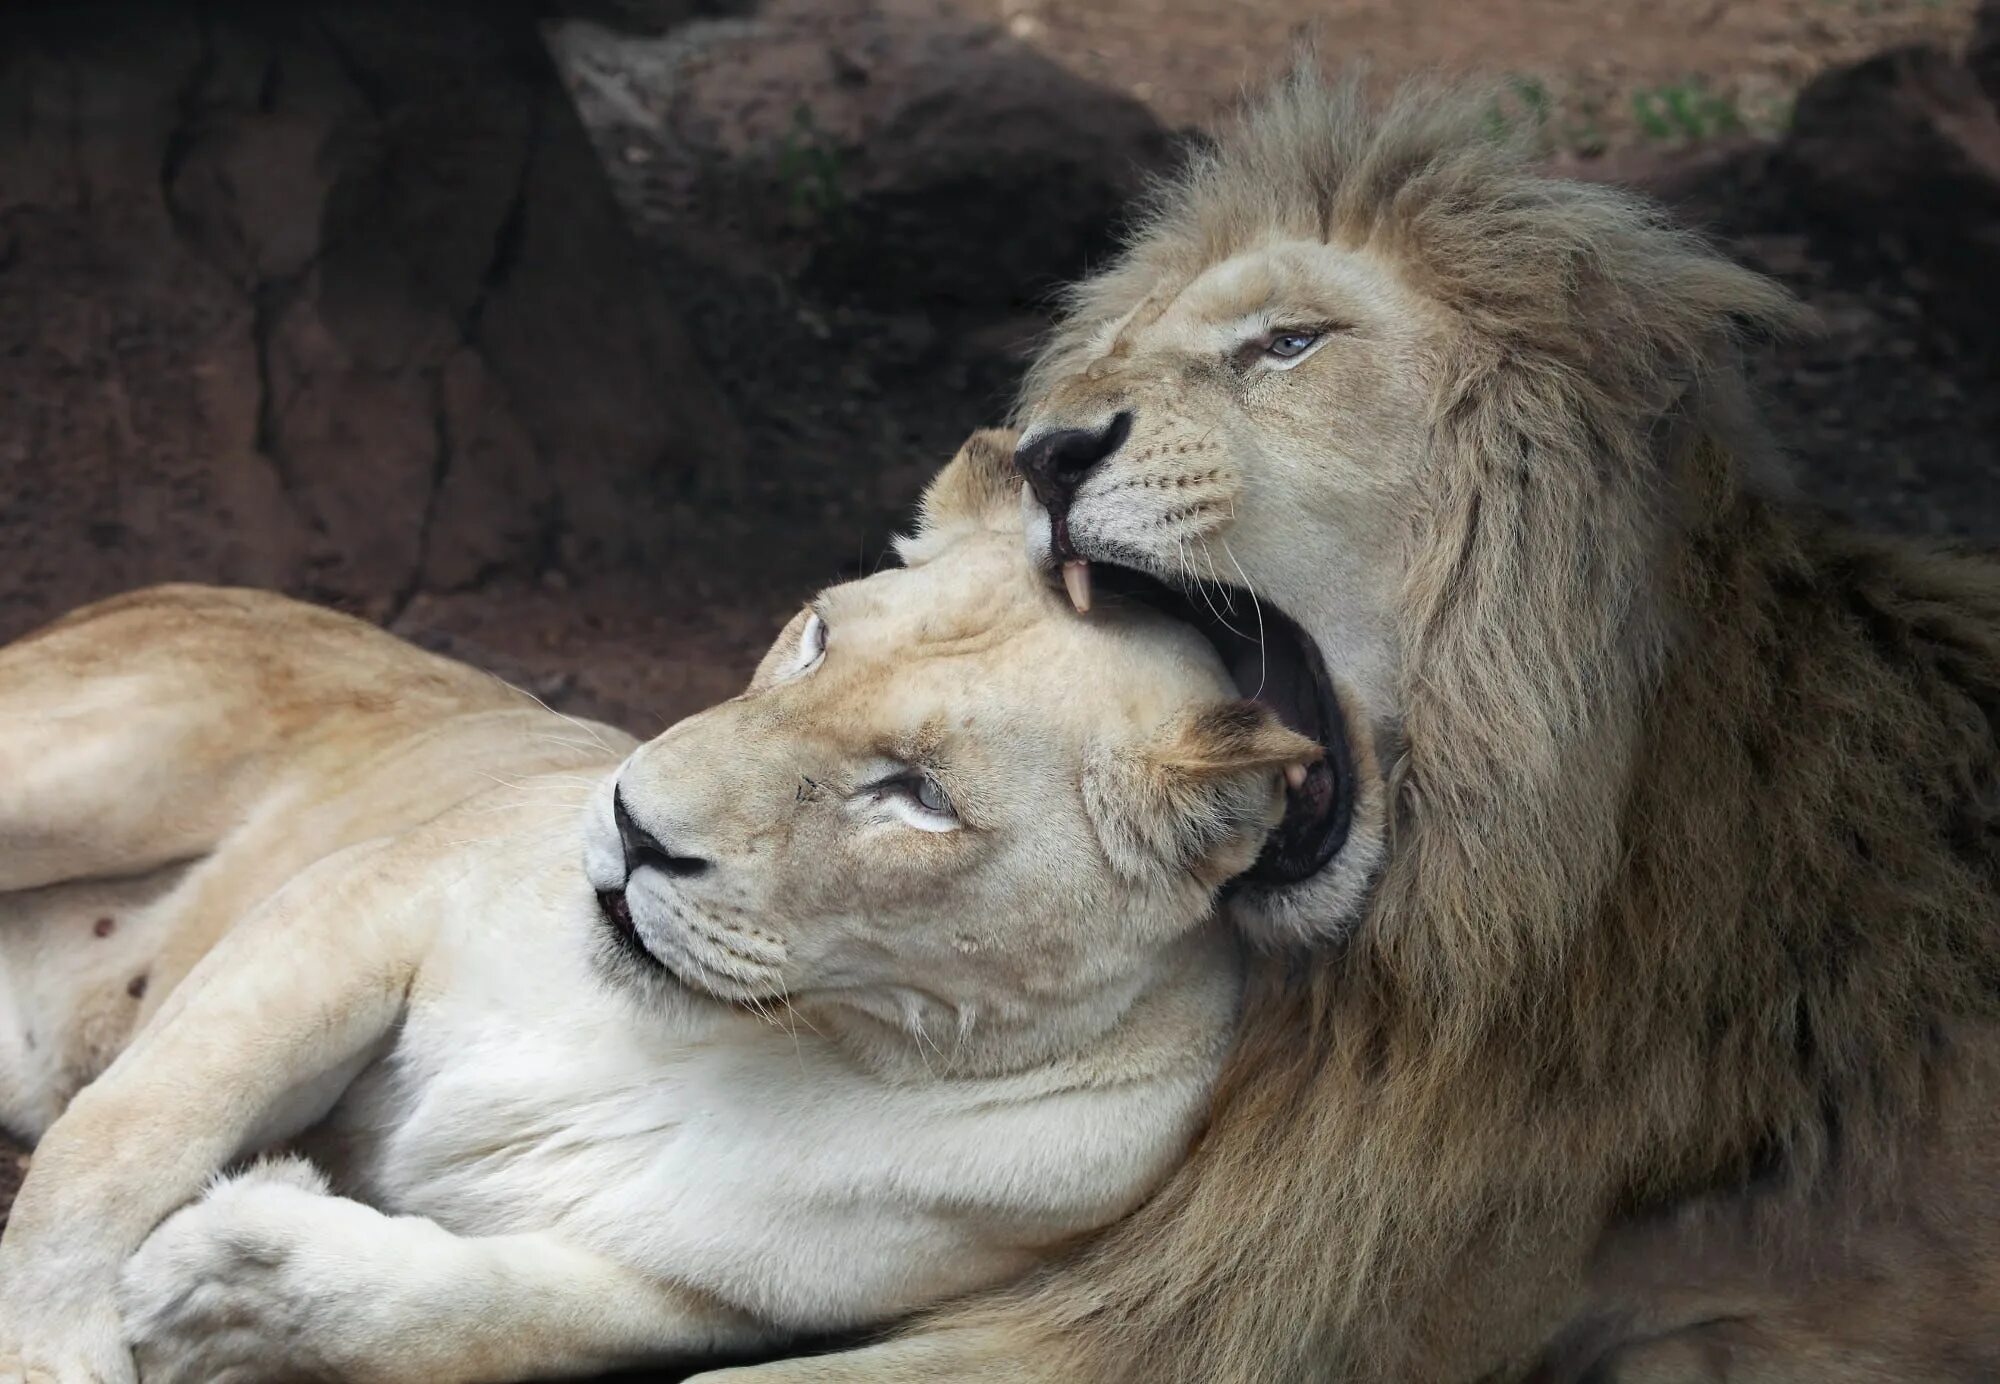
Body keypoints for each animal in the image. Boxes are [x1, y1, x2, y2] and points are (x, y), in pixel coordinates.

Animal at [0, 436, 1312, 1384]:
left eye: (920, 795)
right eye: (816, 637)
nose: (632, 824)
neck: (706, 1034)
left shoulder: (717, 1298)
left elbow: (476, 1317)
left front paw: (228, 1278)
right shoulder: (366, 900)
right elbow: (130, 1131)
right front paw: (54, 1347)